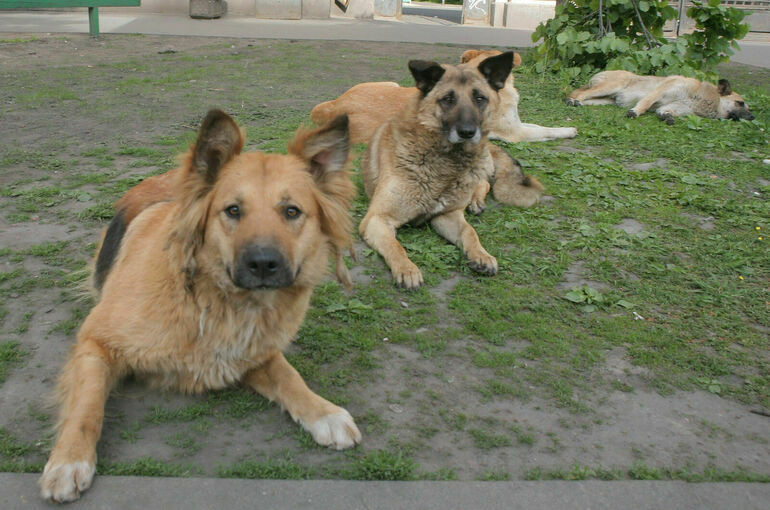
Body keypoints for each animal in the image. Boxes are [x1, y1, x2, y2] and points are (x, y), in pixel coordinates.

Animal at [36, 110, 360, 502]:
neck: (216, 301)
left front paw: (324, 412)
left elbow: (289, 377)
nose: (263, 264)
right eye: (232, 210)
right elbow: (87, 403)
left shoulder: (253, 354)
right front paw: (69, 460)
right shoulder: (96, 341)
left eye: (291, 211)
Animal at [308, 49, 576, 144]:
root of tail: (333, 106)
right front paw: (569, 130)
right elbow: (545, 130)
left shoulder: (517, 125)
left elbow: (538, 125)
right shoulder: (516, 133)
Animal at [358, 52, 540, 290]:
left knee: (483, 183)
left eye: (480, 98)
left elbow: (470, 232)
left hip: (477, 169)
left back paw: (476, 202)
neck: (446, 162)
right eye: (448, 99)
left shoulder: (448, 215)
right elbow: (394, 245)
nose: (467, 132)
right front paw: (407, 269)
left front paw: (481, 254)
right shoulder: (377, 219)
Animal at [560, 69, 752, 124]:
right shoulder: (661, 90)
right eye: (740, 103)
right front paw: (635, 112)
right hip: (610, 86)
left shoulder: (675, 107)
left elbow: (666, 111)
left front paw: (667, 117)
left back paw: (576, 102)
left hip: (605, 100)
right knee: (581, 93)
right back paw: (572, 100)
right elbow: (645, 103)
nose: (753, 117)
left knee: (585, 98)